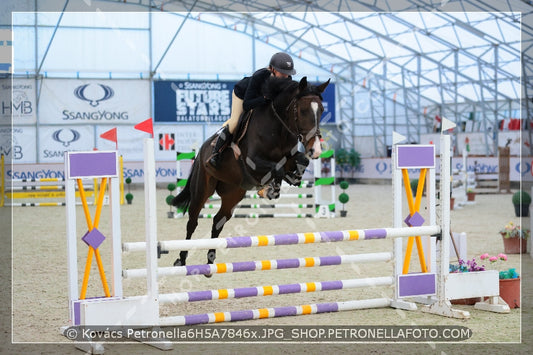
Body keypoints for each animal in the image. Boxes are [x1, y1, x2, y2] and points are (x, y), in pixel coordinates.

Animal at [171, 76, 328, 272]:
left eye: (321, 110)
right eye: (303, 110)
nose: (316, 149)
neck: (278, 127)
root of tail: (201, 150)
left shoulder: (289, 157)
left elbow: (300, 161)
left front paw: (291, 179)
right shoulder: (252, 163)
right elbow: (277, 169)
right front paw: (270, 190)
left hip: (233, 194)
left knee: (218, 221)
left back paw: (210, 262)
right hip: (202, 189)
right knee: (192, 221)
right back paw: (181, 260)